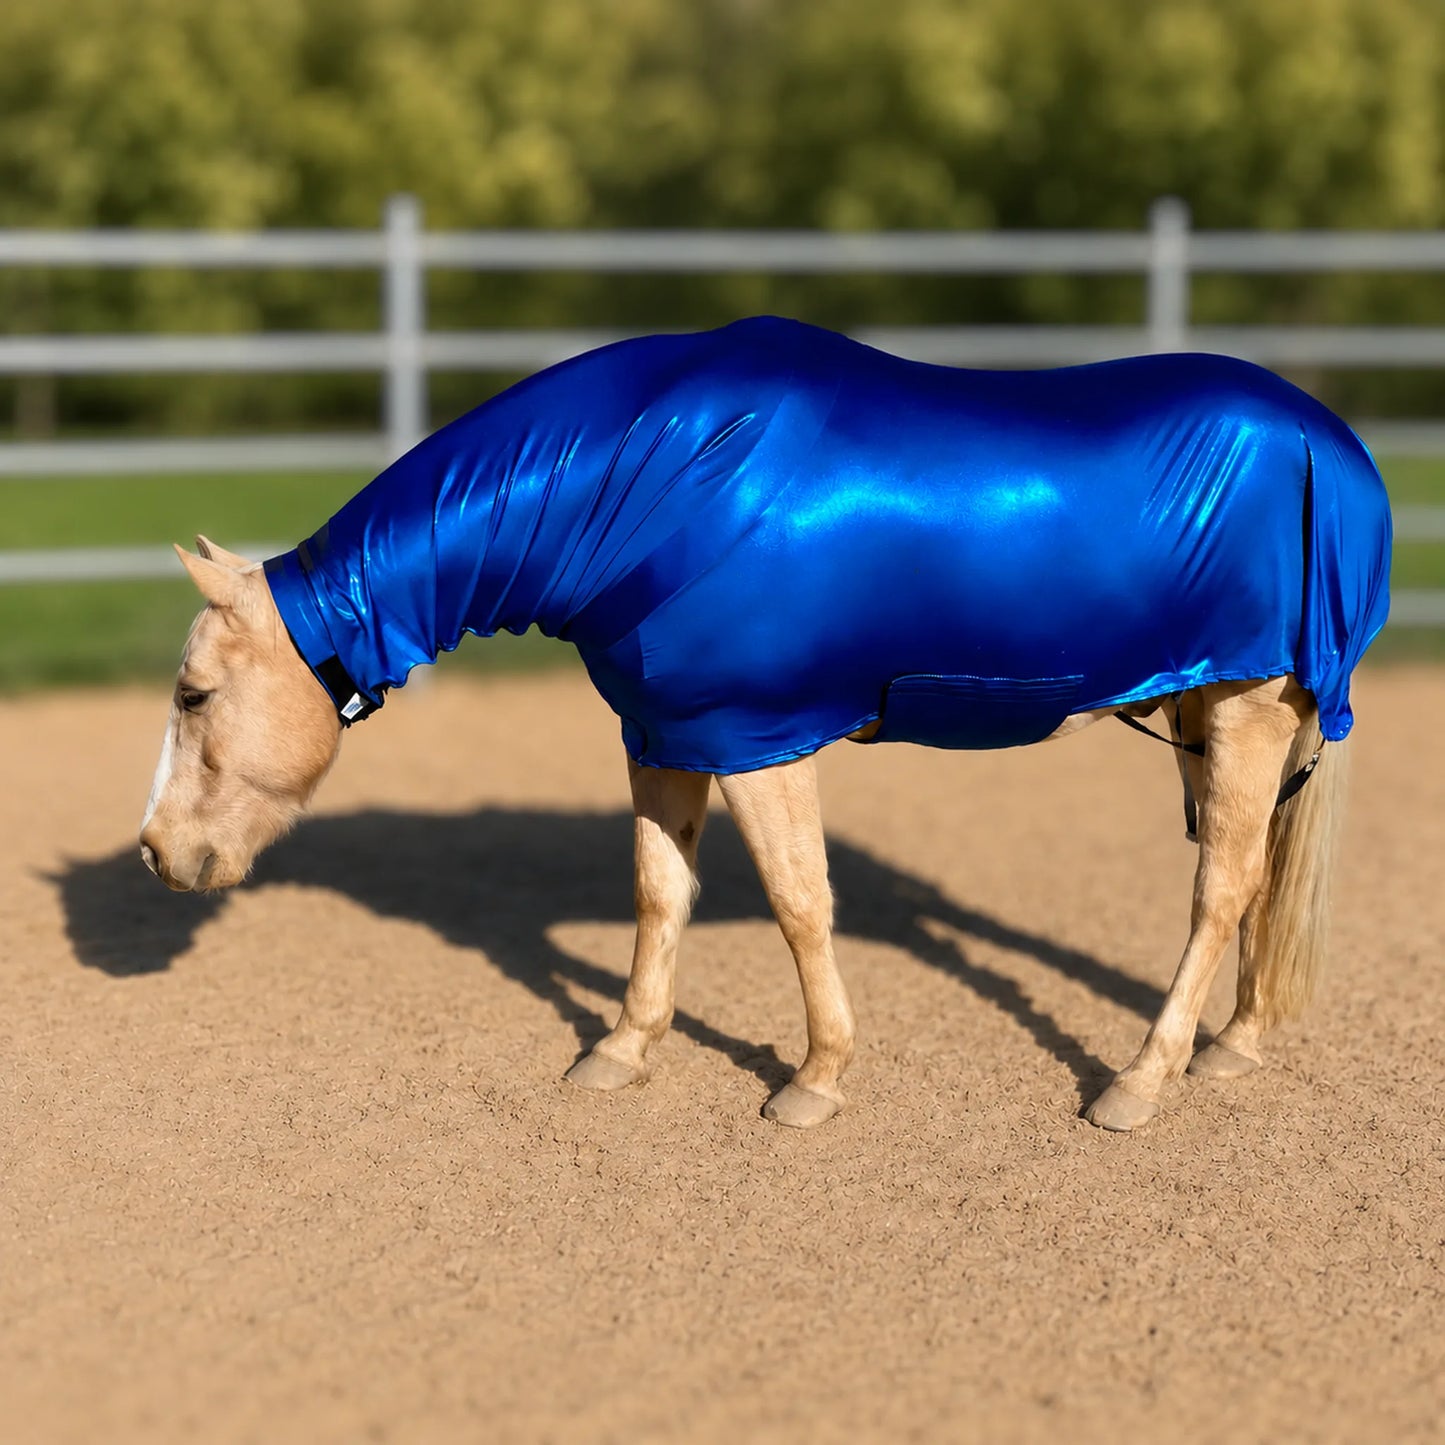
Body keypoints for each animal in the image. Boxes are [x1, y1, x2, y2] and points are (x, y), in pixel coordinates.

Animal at [139, 318, 1392, 1133]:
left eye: (193, 695)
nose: (158, 853)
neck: (658, 478)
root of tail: (1331, 445)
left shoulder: (755, 736)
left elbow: (798, 902)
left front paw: (813, 1078)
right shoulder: (665, 735)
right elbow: (659, 893)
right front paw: (623, 1048)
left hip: (1244, 702)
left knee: (1221, 884)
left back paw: (1140, 1077)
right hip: (1205, 711)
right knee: (1251, 874)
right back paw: (1230, 1047)